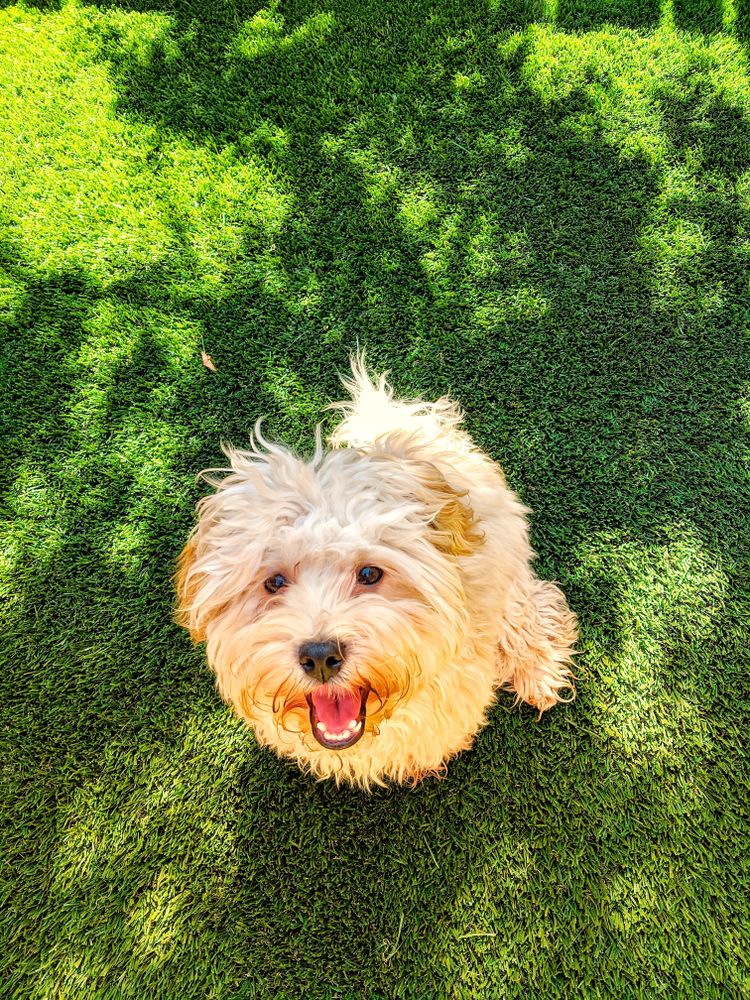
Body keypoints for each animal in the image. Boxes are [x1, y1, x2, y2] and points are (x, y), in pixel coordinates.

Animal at [176, 360, 576, 788]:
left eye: (369, 573)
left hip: (507, 557)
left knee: (529, 607)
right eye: (274, 582)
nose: (320, 655)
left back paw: (539, 674)